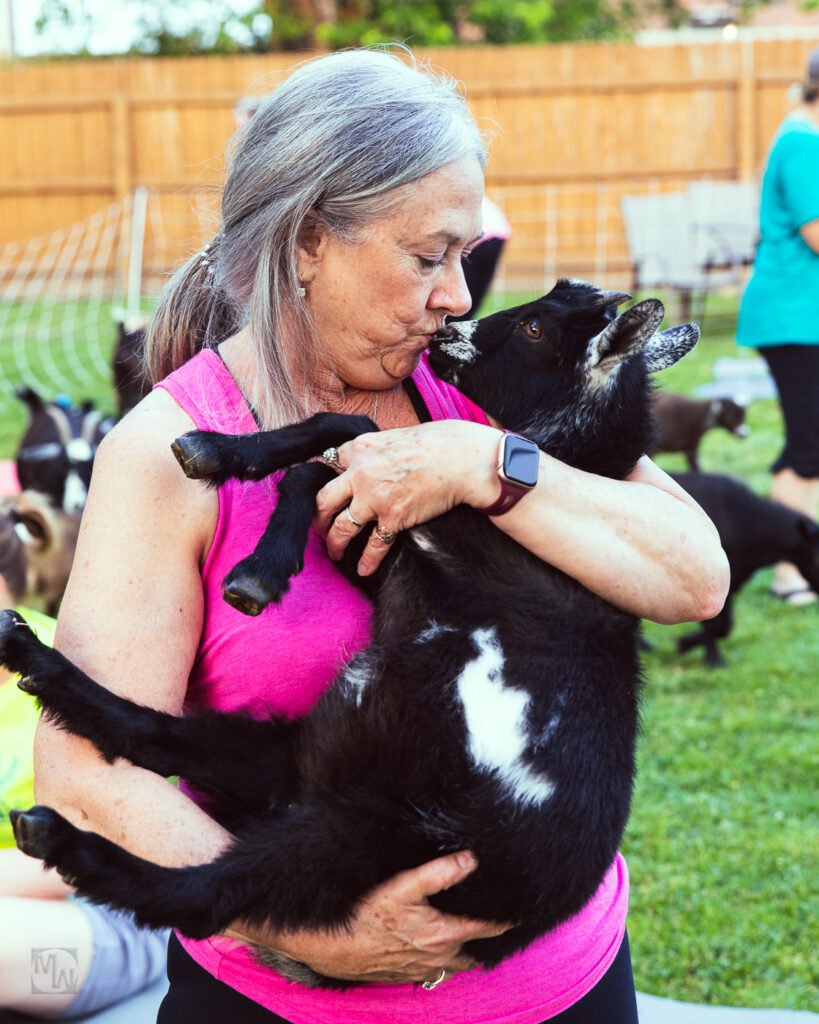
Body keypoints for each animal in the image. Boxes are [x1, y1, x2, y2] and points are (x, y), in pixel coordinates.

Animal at [667, 468, 814, 663]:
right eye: (817, 558)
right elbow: (714, 624)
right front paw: (710, 658)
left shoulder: (731, 584)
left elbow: (726, 625)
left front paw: (688, 643)